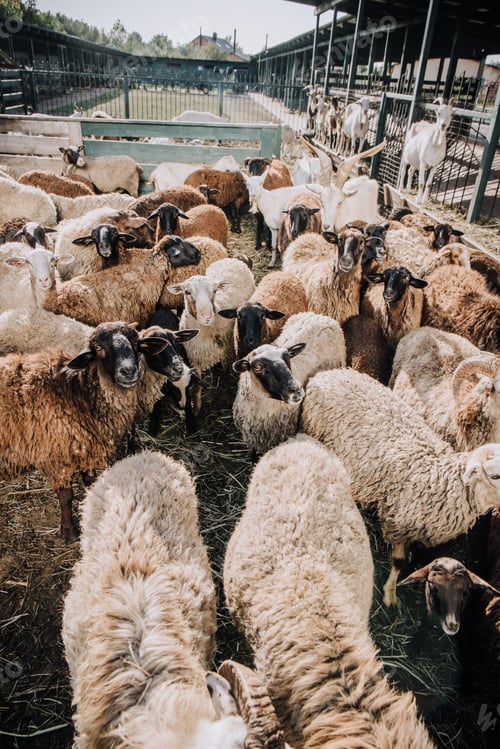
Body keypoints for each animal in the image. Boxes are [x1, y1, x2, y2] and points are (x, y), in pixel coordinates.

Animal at [0, 321, 169, 543]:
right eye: (98, 347)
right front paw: (69, 532)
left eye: (136, 342)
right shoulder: (56, 457)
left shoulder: (85, 447)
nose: (128, 371)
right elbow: (66, 496)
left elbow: (90, 481)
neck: (78, 393)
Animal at [300, 367, 500, 606]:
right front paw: (390, 596)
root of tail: (328, 372)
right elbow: (398, 561)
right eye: (495, 475)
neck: (440, 479)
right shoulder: (395, 521)